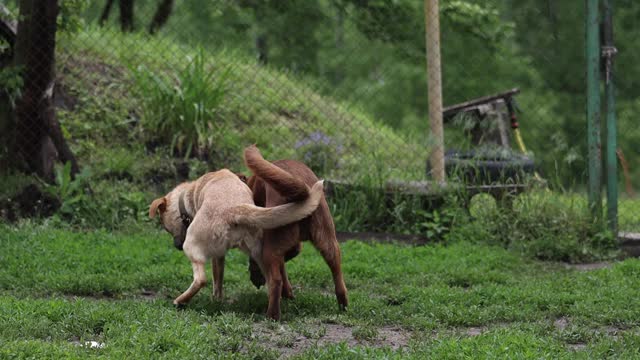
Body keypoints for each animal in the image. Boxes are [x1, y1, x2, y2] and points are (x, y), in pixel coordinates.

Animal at [148, 169, 322, 310]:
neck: (186, 196)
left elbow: (214, 280)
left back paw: (180, 301)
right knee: (274, 280)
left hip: (190, 246)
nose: (176, 246)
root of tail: (235, 209)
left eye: (166, 228)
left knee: (201, 279)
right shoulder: (220, 256)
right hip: (259, 254)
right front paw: (217, 300)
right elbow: (218, 280)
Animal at [242, 145, 348, 320]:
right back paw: (343, 305)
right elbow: (284, 265)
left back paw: (272, 315)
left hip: (270, 248)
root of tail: (302, 191)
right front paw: (288, 293)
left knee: (276, 280)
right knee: (338, 275)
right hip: (329, 243)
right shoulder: (293, 247)